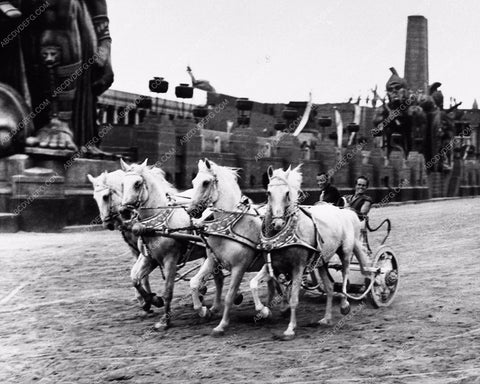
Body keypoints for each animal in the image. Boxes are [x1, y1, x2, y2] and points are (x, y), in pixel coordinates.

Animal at [249, 164, 370, 340]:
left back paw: (344, 304)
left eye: (287, 193)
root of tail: (346, 212)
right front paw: (264, 311)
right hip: (322, 261)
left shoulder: (298, 267)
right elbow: (253, 284)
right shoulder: (271, 265)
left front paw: (290, 328)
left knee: (345, 274)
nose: (277, 223)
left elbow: (294, 299)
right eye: (268, 192)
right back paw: (326, 318)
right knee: (330, 287)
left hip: (346, 251)